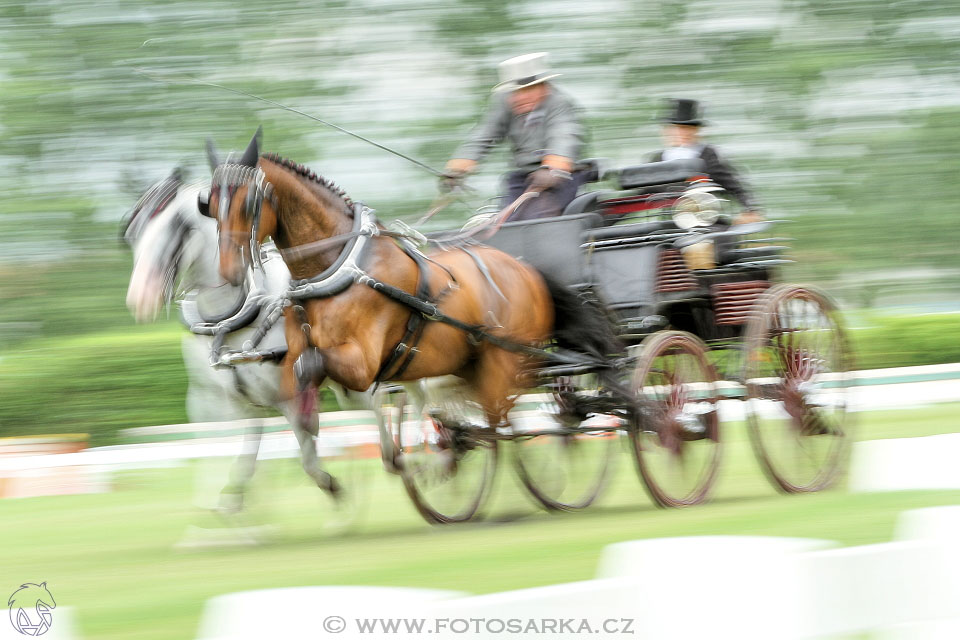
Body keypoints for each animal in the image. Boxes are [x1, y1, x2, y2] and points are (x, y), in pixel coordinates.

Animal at [119, 170, 376, 510]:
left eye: (179, 226)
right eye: (133, 231)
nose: (140, 299)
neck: (228, 318)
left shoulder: (288, 397)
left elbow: (307, 461)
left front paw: (335, 490)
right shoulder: (216, 401)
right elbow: (231, 466)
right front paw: (227, 508)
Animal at [205, 131, 620, 470]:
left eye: (248, 203)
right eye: (208, 203)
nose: (227, 271)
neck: (336, 267)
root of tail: (527, 267)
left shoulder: (363, 364)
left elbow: (315, 367)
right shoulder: (299, 352)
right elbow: (299, 376)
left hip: (505, 359)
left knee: (505, 419)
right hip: (473, 362)